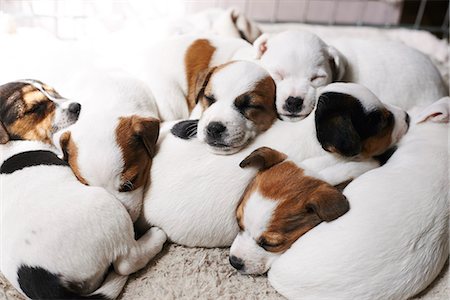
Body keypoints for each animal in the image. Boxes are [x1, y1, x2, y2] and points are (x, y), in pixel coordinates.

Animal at [0, 80, 166, 300]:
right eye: (36, 108)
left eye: (54, 92)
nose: (75, 106)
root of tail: (51, 286)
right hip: (108, 209)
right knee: (126, 262)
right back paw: (155, 238)